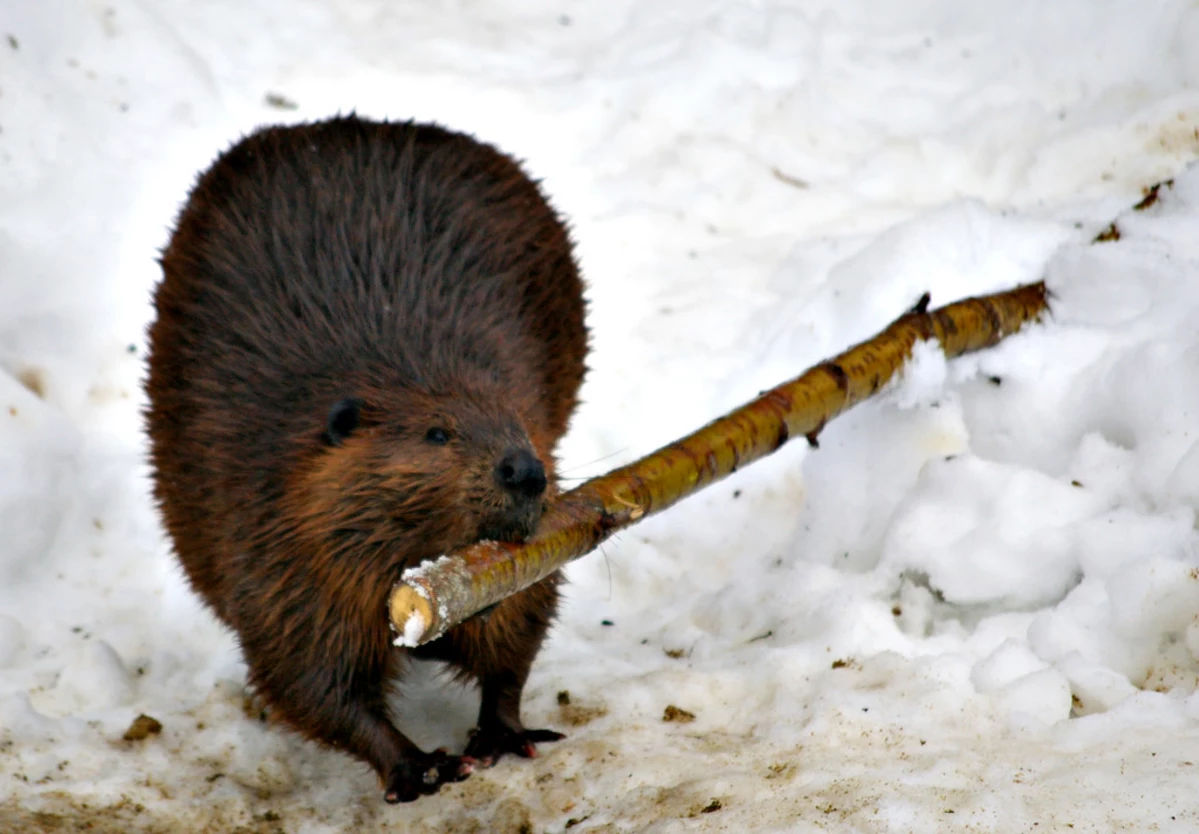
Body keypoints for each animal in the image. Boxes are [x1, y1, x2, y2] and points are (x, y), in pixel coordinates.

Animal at [143, 113, 589, 805]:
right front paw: (418, 766)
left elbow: (520, 624)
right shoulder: (276, 544)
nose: (525, 470)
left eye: (524, 430)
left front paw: (502, 733)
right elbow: (308, 676)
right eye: (437, 434)